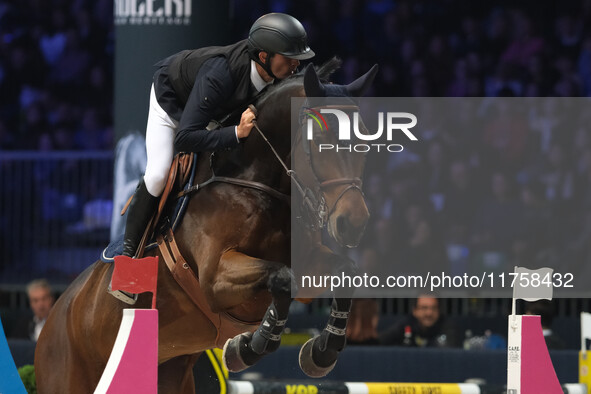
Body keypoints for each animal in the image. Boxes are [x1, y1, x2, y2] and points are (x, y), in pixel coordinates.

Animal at [34, 59, 376, 394]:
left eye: (364, 140)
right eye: (320, 140)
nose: (353, 223)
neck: (254, 184)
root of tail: (53, 318)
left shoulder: (307, 270)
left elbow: (345, 272)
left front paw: (321, 353)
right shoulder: (215, 277)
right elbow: (280, 277)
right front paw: (246, 347)